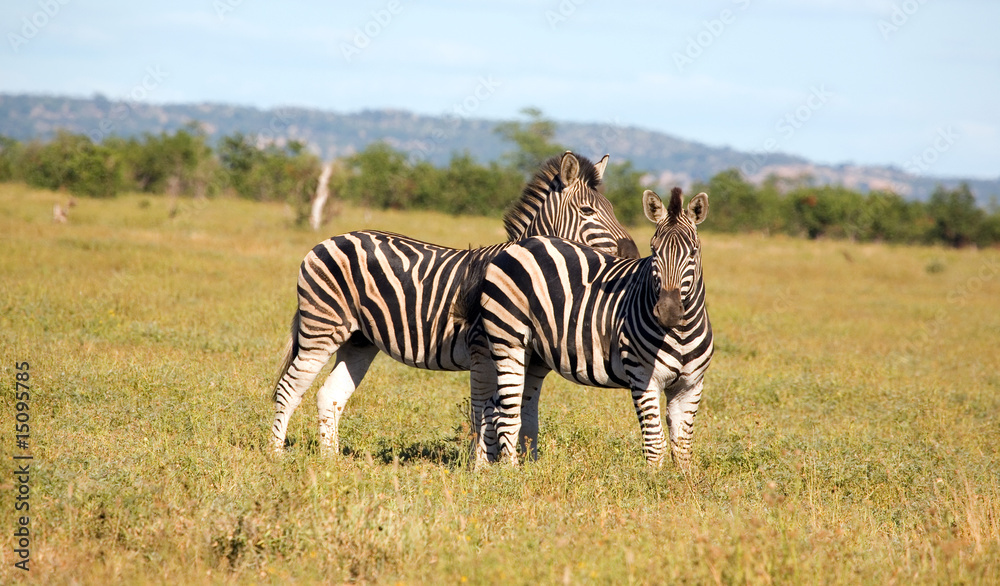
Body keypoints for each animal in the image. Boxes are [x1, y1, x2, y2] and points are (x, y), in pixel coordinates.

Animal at [270, 151, 640, 455]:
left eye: (613, 210)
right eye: (588, 211)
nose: (632, 253)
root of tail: (329, 239)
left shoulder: (526, 359)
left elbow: (523, 418)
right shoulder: (482, 353)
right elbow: (484, 414)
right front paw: (479, 470)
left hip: (359, 340)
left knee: (329, 395)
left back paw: (330, 463)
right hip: (322, 328)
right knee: (288, 389)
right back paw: (276, 457)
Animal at [469, 187, 712, 470]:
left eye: (693, 251)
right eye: (654, 251)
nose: (668, 312)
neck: (680, 332)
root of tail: (520, 245)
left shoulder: (690, 386)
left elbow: (682, 448)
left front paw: (683, 482)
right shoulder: (643, 378)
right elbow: (655, 444)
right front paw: (653, 481)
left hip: (532, 354)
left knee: (493, 407)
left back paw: (484, 469)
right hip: (507, 340)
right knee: (505, 412)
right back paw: (510, 474)